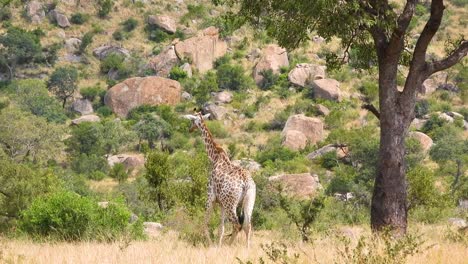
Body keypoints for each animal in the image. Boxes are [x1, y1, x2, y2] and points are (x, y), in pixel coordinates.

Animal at [183, 112, 256, 248]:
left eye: (192, 121)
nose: (190, 129)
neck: (215, 156)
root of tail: (246, 183)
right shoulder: (221, 203)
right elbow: (221, 228)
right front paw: (218, 246)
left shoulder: (210, 197)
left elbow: (205, 223)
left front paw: (211, 244)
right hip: (249, 201)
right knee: (247, 224)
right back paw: (247, 248)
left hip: (231, 204)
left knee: (237, 224)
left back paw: (230, 246)